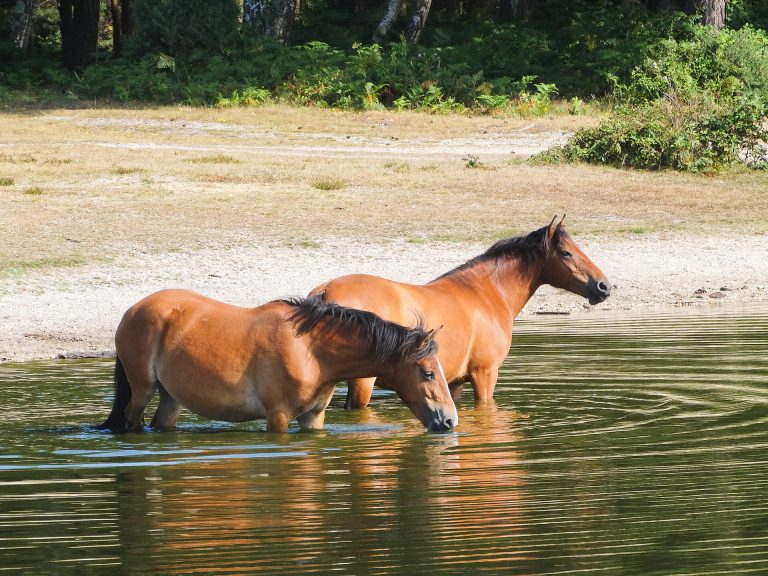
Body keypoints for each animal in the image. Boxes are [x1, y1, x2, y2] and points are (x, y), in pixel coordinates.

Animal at [97, 291, 458, 433]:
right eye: (428, 373)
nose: (449, 421)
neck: (312, 351)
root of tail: (133, 310)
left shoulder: (313, 417)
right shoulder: (279, 416)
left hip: (171, 398)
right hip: (142, 389)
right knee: (132, 419)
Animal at [309, 216, 612, 408]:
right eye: (566, 253)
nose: (604, 286)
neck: (487, 292)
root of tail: (325, 291)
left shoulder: (454, 383)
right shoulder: (485, 375)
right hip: (363, 383)